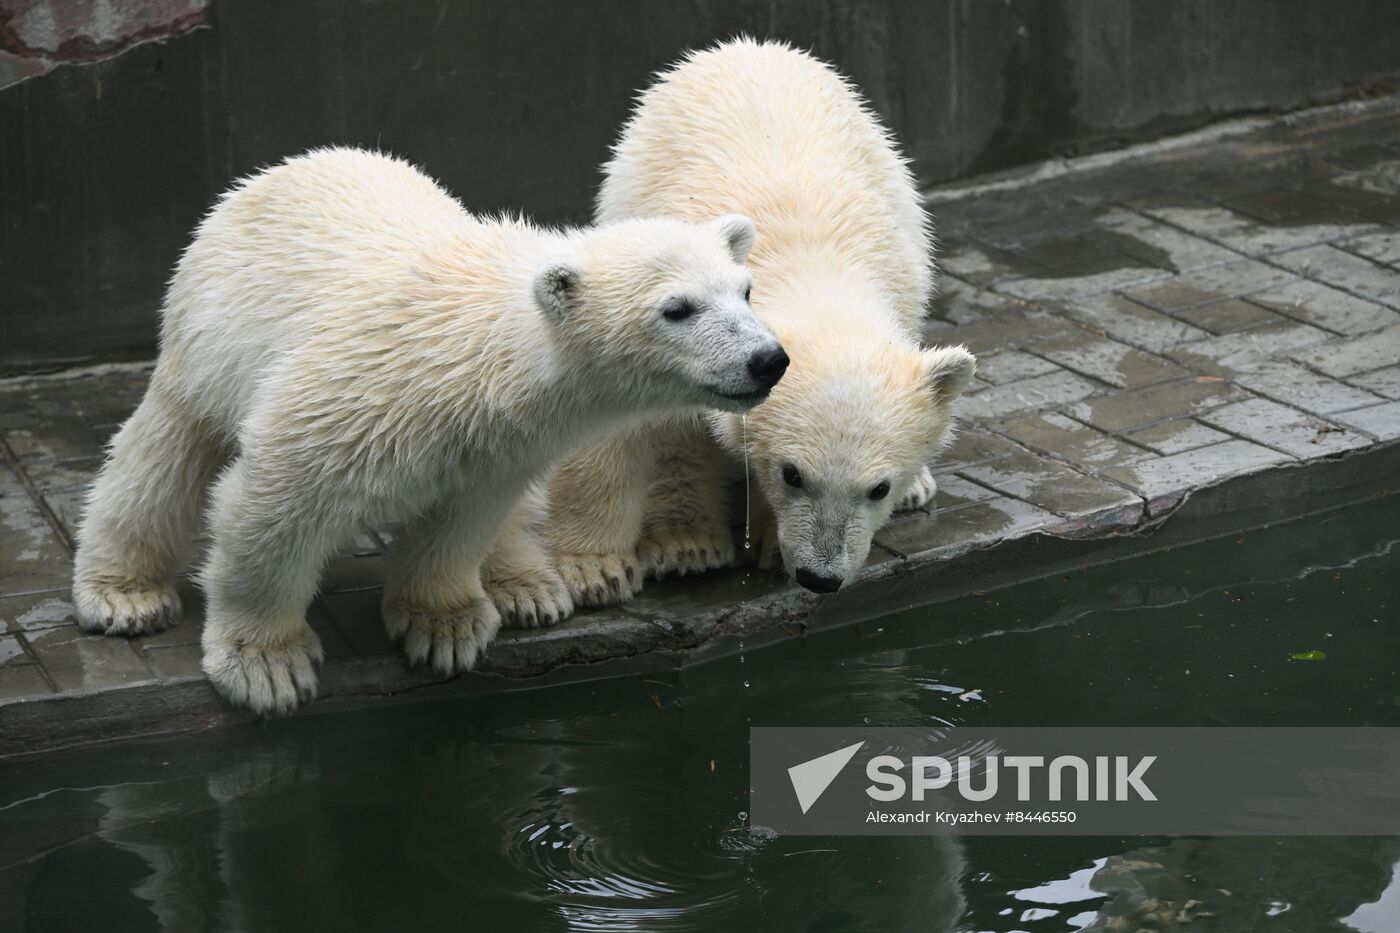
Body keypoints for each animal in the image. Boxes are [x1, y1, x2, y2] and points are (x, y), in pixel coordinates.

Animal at [73, 145, 789, 711]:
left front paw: (445, 627)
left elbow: (465, 518)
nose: (768, 359)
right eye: (677, 309)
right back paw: (125, 594)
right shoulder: (342, 399)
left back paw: (526, 587)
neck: (480, 354)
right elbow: (275, 508)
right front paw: (266, 665)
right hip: (206, 336)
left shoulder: (498, 446)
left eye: (745, 290)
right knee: (162, 457)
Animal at [543, 39, 974, 599]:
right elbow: (659, 429)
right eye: (793, 474)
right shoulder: (681, 334)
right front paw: (675, 548)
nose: (820, 578)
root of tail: (751, 46)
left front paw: (768, 541)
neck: (811, 269)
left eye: (877, 488)